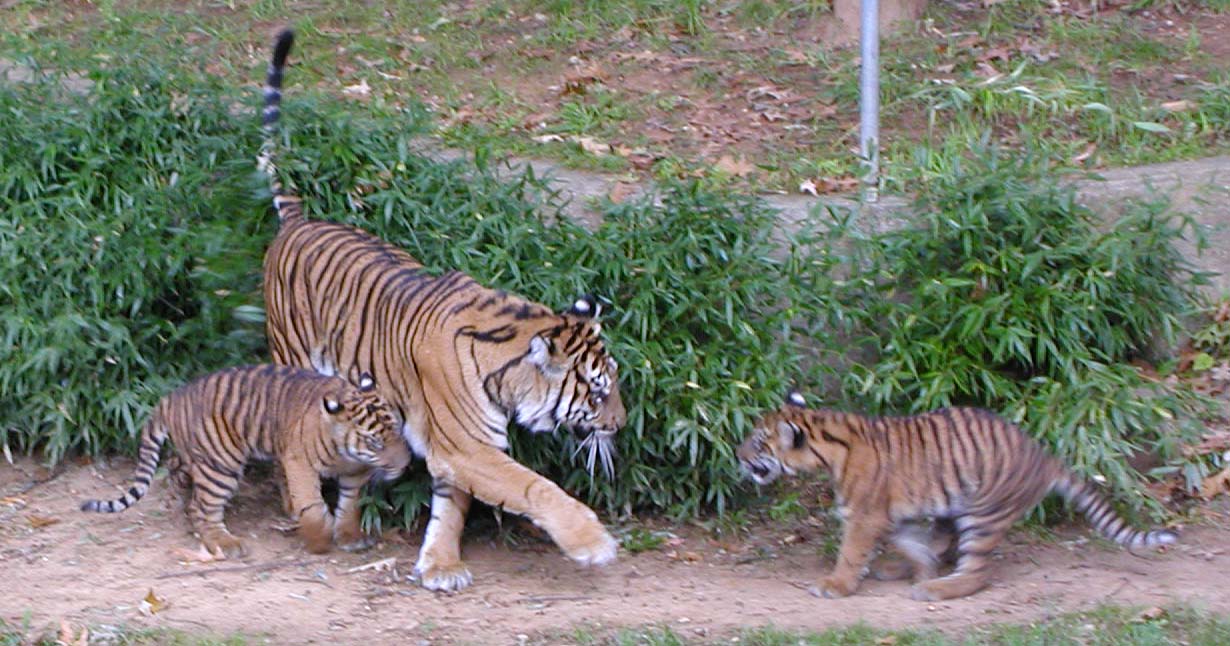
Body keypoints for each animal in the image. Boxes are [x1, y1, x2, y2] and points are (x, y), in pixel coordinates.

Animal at [80, 364, 408, 556]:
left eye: (397, 429)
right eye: (376, 442)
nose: (405, 464)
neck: (345, 452)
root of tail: (170, 398)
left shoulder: (356, 471)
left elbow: (351, 505)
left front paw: (350, 536)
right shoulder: (299, 463)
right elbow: (312, 506)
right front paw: (319, 541)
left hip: (194, 457)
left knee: (177, 472)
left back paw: (179, 498)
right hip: (219, 465)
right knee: (202, 508)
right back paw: (225, 543)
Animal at [257, 28, 624, 588]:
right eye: (599, 391)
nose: (621, 426)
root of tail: (299, 219)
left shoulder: (459, 452)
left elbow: (452, 506)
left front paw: (440, 565)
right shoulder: (466, 446)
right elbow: (534, 487)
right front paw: (593, 542)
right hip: (294, 358)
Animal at [733, 391, 1175, 602]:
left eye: (758, 442)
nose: (737, 454)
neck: (828, 443)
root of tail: (1045, 455)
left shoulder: (864, 516)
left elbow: (852, 553)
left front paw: (836, 585)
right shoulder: (891, 514)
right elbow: (911, 543)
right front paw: (920, 566)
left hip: (984, 513)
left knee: (977, 572)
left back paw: (936, 589)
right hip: (954, 502)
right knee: (943, 542)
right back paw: (909, 572)